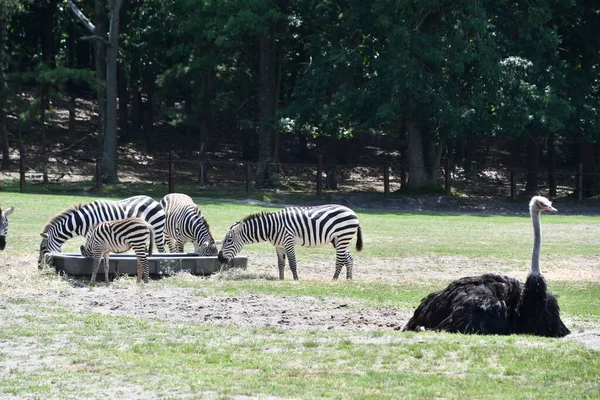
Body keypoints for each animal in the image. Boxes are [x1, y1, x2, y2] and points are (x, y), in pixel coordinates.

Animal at [218, 205, 364, 280]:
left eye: (229, 240)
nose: (219, 259)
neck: (272, 227)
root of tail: (352, 211)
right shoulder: (279, 246)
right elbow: (281, 264)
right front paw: (281, 279)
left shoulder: (288, 242)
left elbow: (292, 263)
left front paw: (296, 279)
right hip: (339, 240)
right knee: (349, 258)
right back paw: (348, 279)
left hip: (342, 237)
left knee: (340, 260)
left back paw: (334, 279)